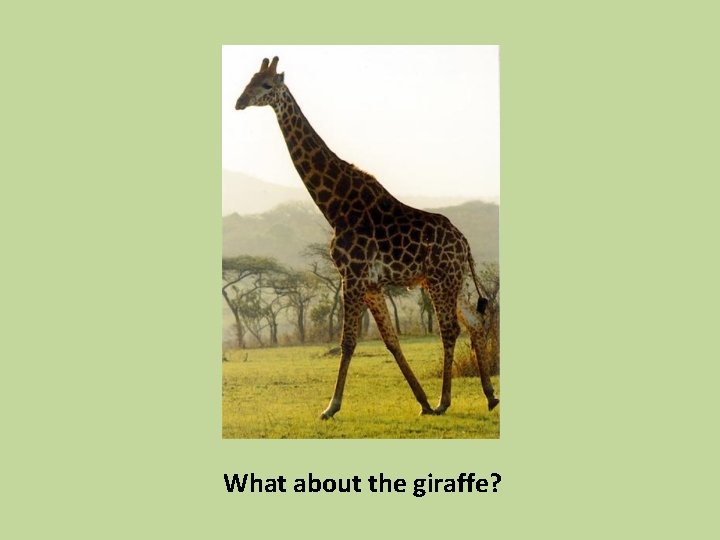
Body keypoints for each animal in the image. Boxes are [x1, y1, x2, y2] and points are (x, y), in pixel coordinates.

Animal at [235, 56, 499, 419]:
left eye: (266, 85)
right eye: (249, 80)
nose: (239, 102)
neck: (335, 206)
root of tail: (465, 243)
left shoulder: (352, 275)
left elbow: (348, 341)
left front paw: (330, 407)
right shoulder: (371, 283)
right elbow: (391, 341)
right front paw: (421, 401)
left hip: (441, 278)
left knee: (450, 329)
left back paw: (446, 400)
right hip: (448, 280)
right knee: (472, 322)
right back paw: (489, 396)